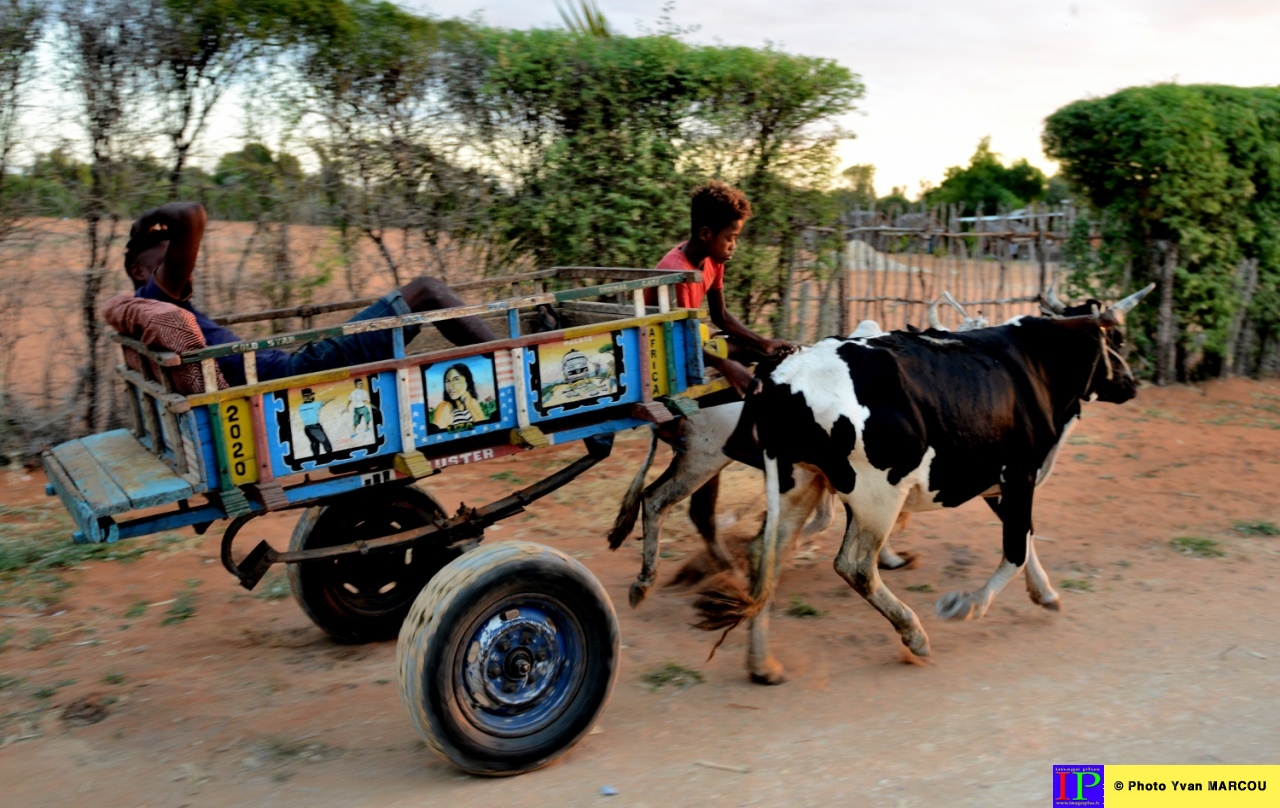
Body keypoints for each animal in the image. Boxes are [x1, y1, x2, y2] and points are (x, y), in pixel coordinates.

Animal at [696, 284, 1157, 681]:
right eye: (1117, 339)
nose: (1131, 384)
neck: (1036, 363)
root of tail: (781, 377)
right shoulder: (1020, 472)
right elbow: (1014, 549)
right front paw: (964, 605)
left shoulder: (994, 481)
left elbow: (1024, 539)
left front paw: (1044, 594)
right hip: (876, 494)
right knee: (854, 565)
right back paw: (914, 634)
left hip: (798, 482)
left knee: (766, 554)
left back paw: (761, 663)